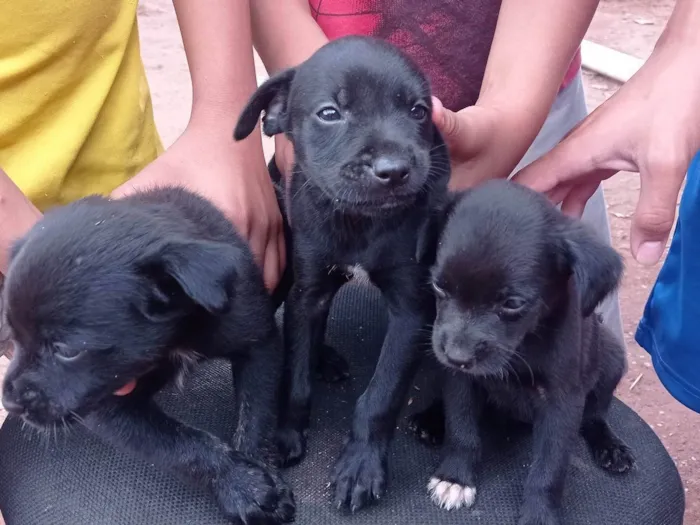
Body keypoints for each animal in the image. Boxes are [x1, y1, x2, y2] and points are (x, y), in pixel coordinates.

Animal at [0, 188, 296, 524]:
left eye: (66, 350)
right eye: (12, 336)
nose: (10, 403)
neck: (177, 335)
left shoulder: (258, 340)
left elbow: (256, 419)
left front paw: (254, 475)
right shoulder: (112, 407)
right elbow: (180, 445)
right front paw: (241, 485)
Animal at [232, 34, 448, 510]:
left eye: (418, 111)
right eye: (330, 113)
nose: (394, 171)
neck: (360, 222)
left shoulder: (411, 310)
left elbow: (381, 395)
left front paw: (361, 466)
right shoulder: (308, 290)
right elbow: (295, 373)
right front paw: (286, 435)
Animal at [416, 181, 636, 524]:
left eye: (512, 303)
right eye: (439, 286)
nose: (457, 357)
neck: (524, 347)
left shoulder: (562, 401)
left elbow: (550, 467)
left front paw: (539, 513)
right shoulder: (461, 382)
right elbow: (461, 428)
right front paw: (455, 477)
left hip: (611, 357)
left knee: (596, 415)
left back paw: (611, 447)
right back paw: (430, 419)